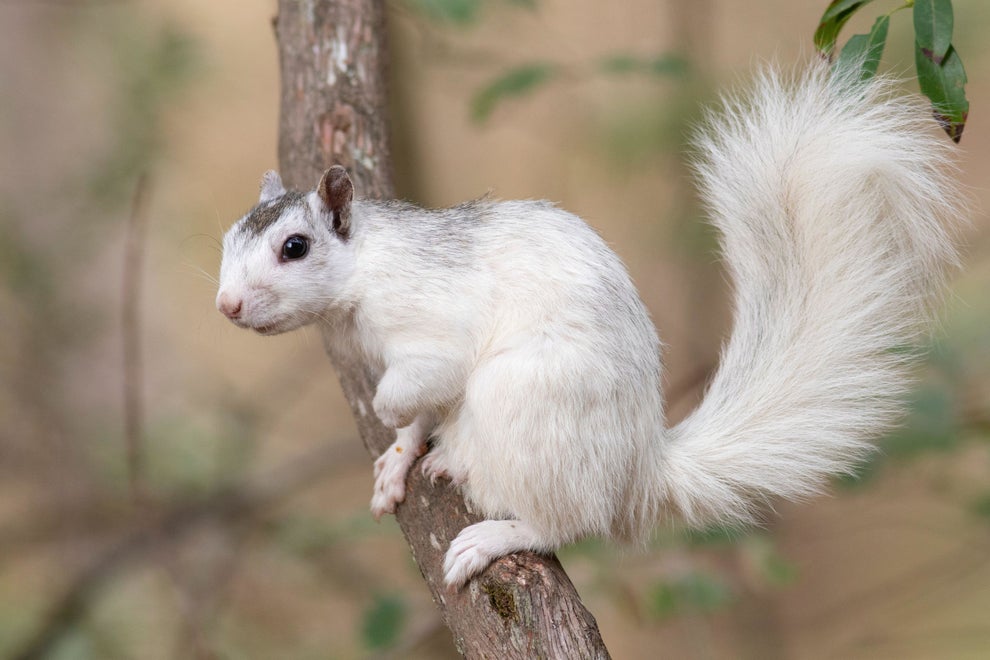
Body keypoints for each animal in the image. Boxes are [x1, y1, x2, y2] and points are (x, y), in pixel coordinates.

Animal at [216, 64, 962, 588]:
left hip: (525, 402)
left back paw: (489, 515)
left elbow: (415, 386)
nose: (227, 307)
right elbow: (419, 413)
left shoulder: (431, 326)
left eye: (294, 247)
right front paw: (398, 457)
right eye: (228, 239)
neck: (363, 271)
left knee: (567, 523)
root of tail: (637, 470)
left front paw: (393, 414)